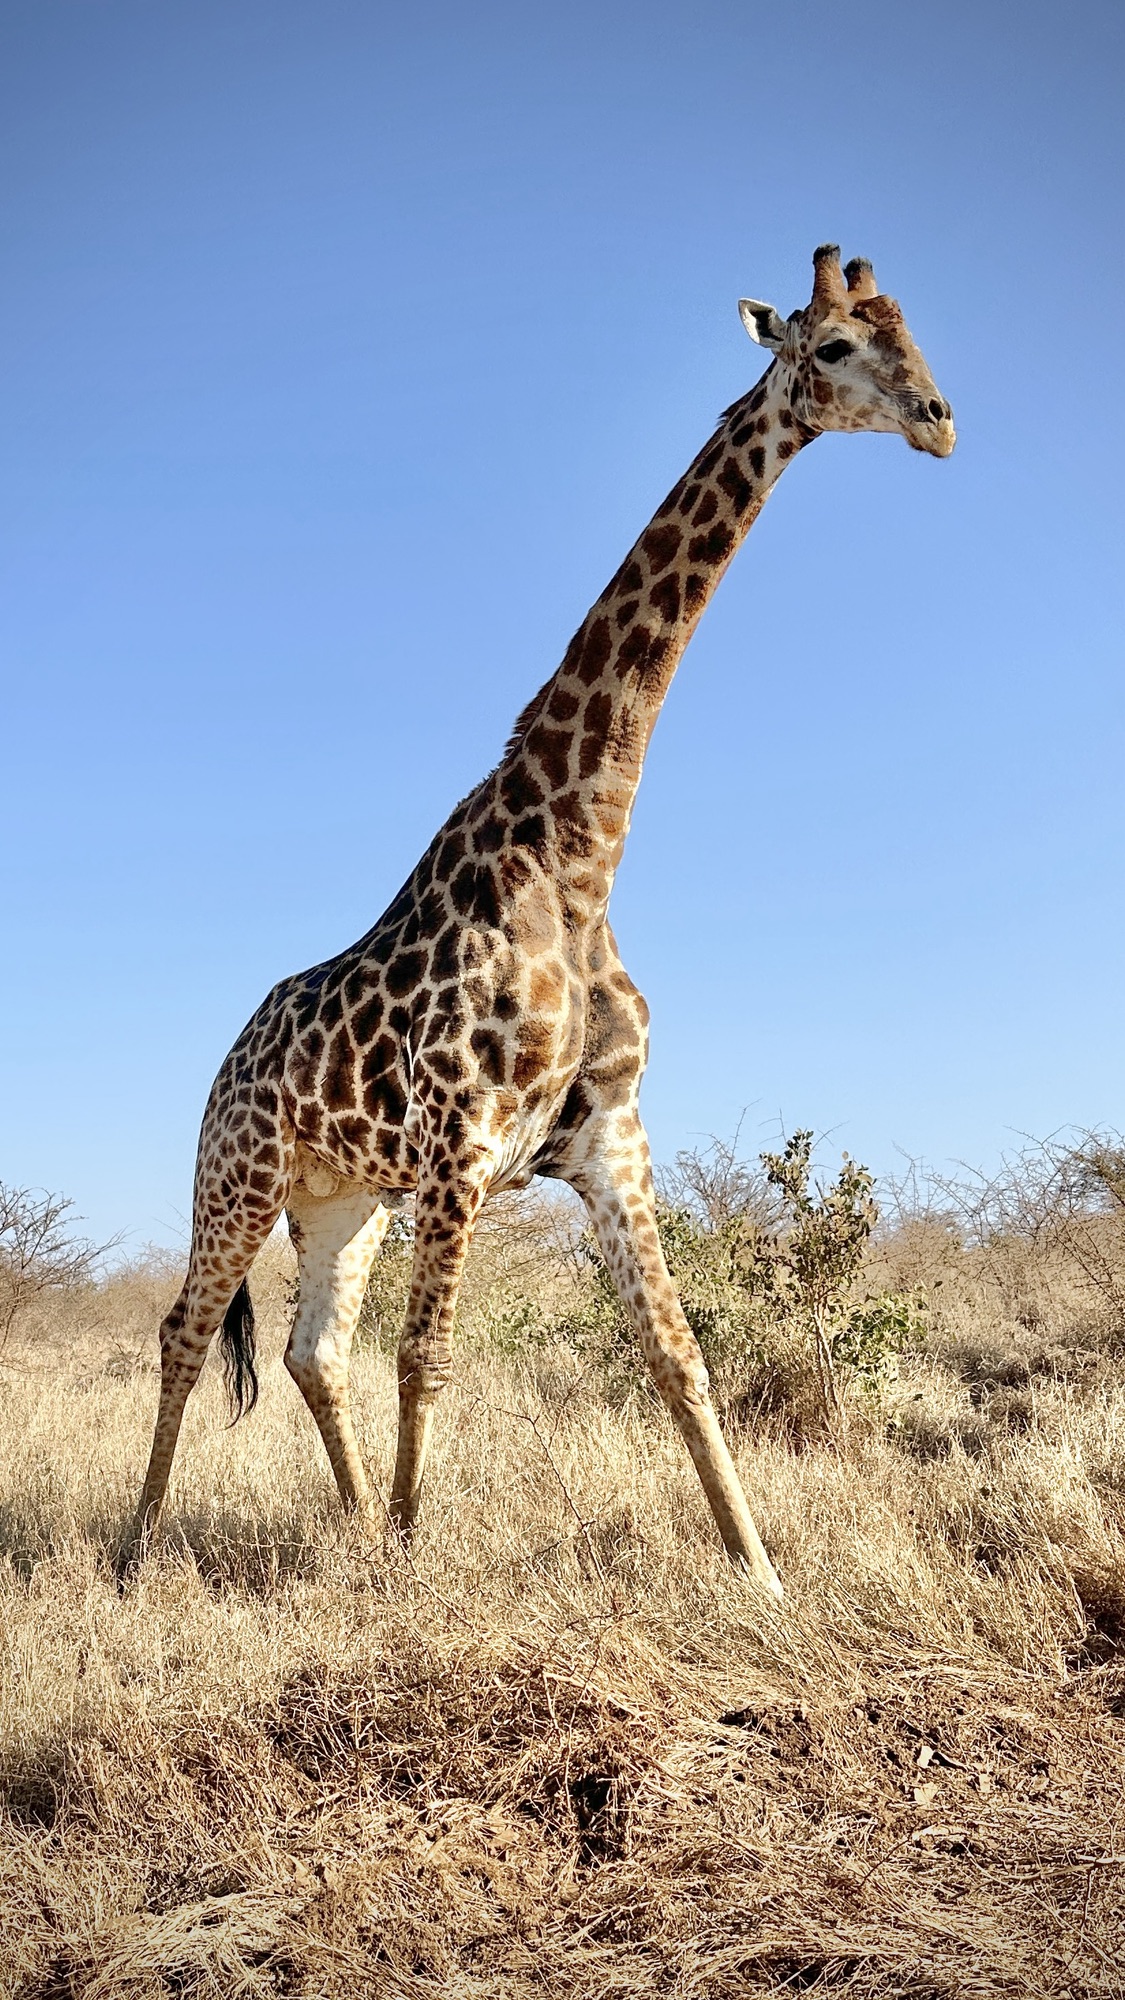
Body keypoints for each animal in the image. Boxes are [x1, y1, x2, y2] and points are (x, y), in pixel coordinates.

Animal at [121, 246, 954, 1595]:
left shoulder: (608, 1133)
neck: (581, 854)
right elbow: (433, 1358)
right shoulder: (465, 1144)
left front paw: (761, 1572)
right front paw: (416, 1564)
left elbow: (677, 1353)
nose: (940, 418)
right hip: (235, 1175)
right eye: (831, 346)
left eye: (910, 331)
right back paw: (138, 1552)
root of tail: (227, 1061)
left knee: (311, 1350)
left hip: (341, 1200)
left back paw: (353, 1522)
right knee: (187, 1330)